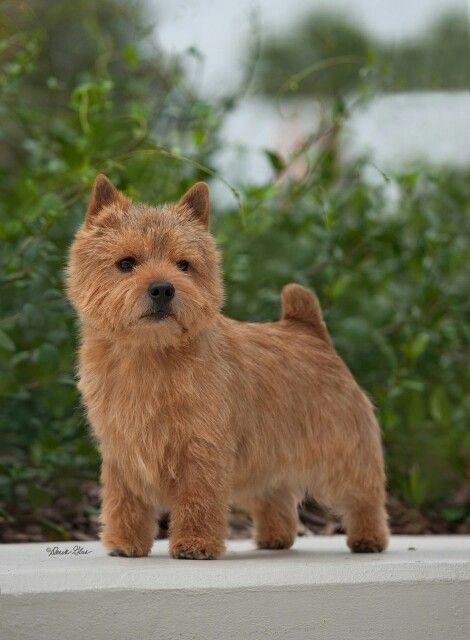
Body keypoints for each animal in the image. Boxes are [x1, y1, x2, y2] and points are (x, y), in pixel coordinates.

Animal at [66, 176, 390, 560]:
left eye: (183, 265)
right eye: (126, 264)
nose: (163, 289)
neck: (149, 354)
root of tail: (310, 331)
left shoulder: (201, 448)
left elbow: (198, 500)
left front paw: (194, 545)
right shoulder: (122, 450)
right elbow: (123, 500)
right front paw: (124, 543)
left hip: (342, 452)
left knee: (364, 495)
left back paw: (369, 539)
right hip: (268, 457)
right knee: (276, 497)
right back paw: (274, 539)